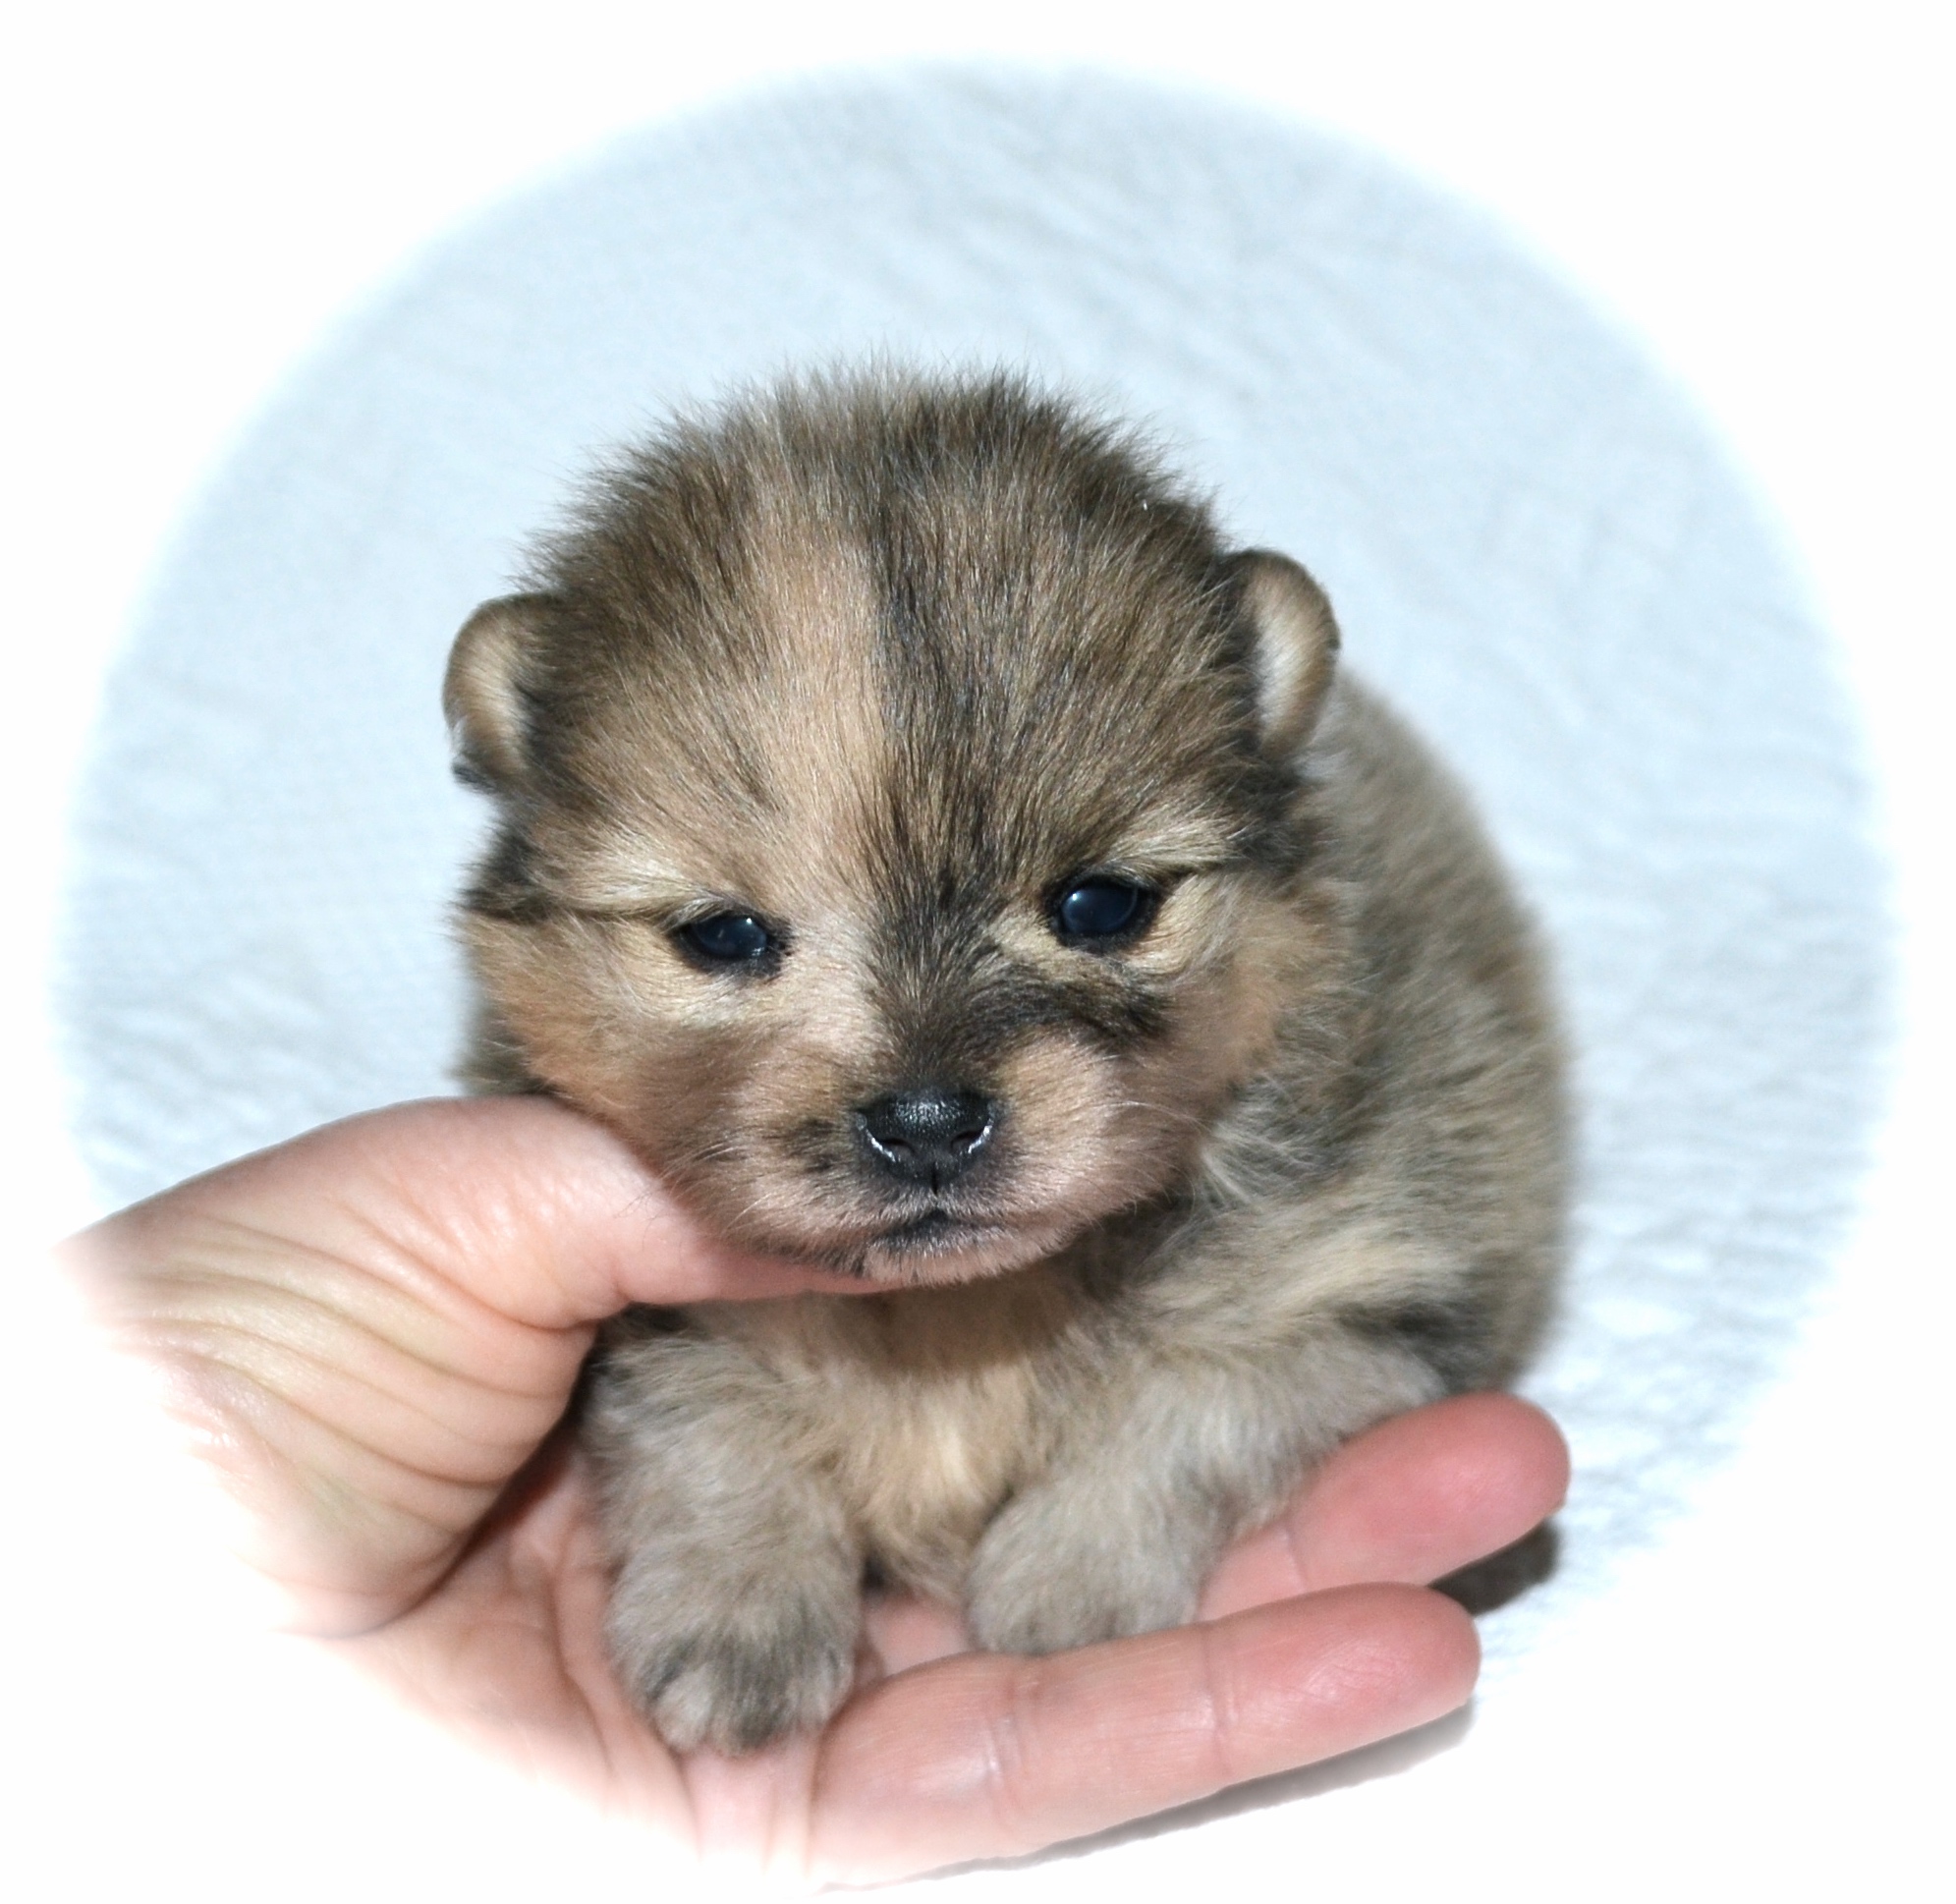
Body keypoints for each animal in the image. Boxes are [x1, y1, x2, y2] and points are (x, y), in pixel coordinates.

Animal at [444, 370, 1568, 1753]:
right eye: (721, 935)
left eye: (1099, 906)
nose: (927, 1120)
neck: (958, 1317)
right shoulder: (644, 1318)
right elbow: (705, 1419)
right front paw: (736, 1611)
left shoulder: (1371, 1287)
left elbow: (1193, 1407)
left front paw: (1072, 1574)